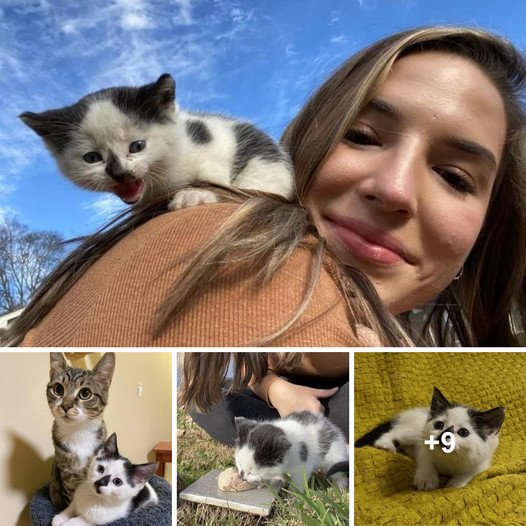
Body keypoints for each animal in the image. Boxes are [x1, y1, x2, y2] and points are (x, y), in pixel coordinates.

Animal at [20, 72, 296, 212]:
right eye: (92, 158)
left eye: (137, 146)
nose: (119, 173)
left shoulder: (213, 141)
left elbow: (215, 177)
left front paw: (195, 195)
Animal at [356, 388, 506, 496]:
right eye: (439, 425)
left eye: (463, 432)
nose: (443, 435)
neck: (449, 459)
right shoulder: (424, 448)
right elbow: (426, 461)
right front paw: (426, 479)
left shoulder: (482, 462)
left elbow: (472, 471)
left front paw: (457, 482)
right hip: (411, 431)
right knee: (393, 433)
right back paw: (385, 444)